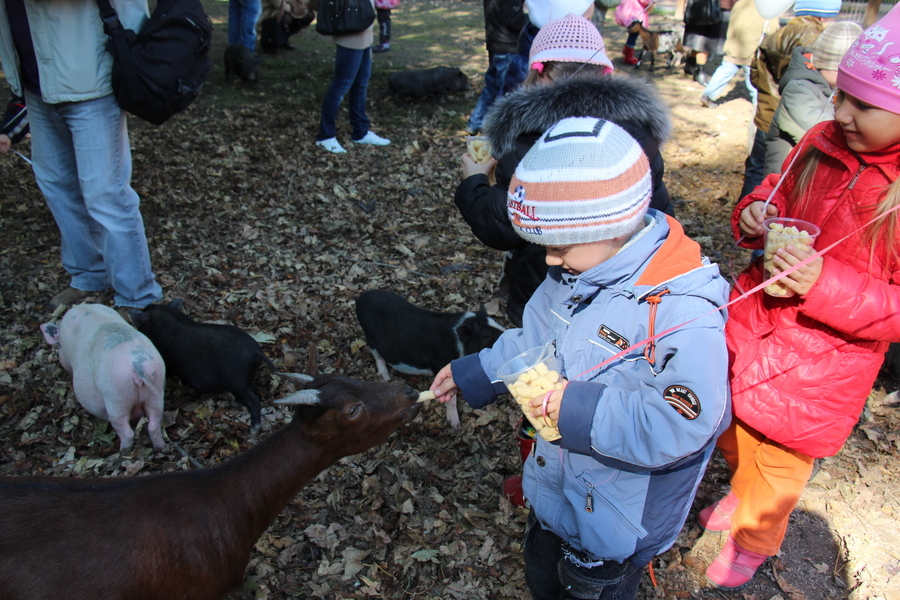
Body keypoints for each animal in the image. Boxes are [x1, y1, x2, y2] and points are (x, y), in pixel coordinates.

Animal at [41, 304, 167, 450]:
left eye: (59, 347)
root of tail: (136, 365)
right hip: (156, 390)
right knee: (153, 424)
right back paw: (161, 447)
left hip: (116, 398)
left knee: (126, 431)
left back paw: (123, 450)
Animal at [132, 298, 274, 432]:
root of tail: (255, 351)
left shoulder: (166, 357)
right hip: (245, 377)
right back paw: (235, 403)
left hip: (236, 380)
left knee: (254, 399)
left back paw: (254, 429)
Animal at [354, 290, 506, 426]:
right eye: (485, 335)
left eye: (497, 322)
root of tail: (361, 298)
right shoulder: (440, 364)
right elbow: (451, 399)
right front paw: (455, 425)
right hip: (370, 337)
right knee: (377, 356)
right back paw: (386, 378)